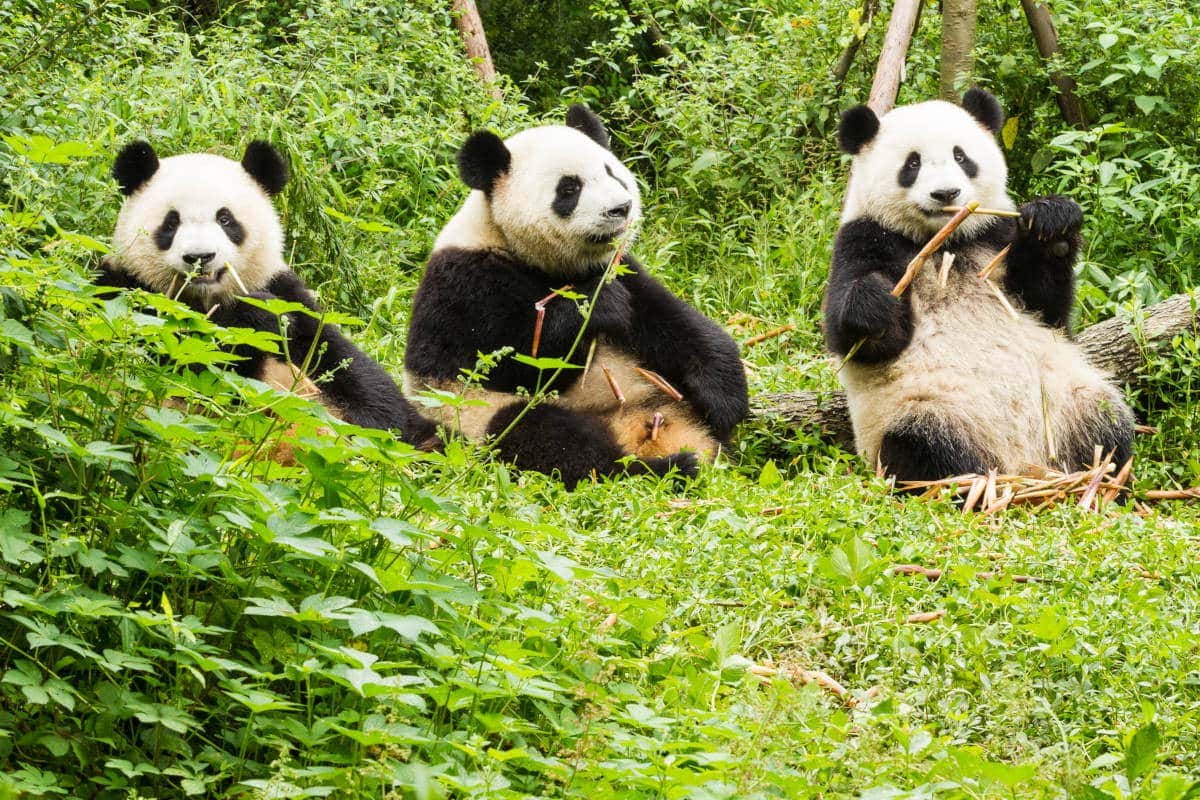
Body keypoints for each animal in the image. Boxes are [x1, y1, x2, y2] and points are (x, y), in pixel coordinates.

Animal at [97, 140, 436, 448]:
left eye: (225, 219)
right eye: (171, 223)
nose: (200, 257)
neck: (206, 299)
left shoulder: (287, 294)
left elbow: (350, 370)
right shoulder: (125, 289)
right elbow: (175, 356)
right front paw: (253, 319)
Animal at [825, 89, 1132, 484]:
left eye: (961, 156)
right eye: (912, 163)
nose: (946, 194)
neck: (946, 241)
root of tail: (1022, 465)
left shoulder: (994, 236)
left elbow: (1047, 309)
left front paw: (1053, 224)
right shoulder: (863, 238)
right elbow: (860, 342)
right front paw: (873, 304)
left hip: (1068, 401)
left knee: (1106, 426)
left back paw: (1102, 477)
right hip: (922, 410)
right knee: (924, 449)